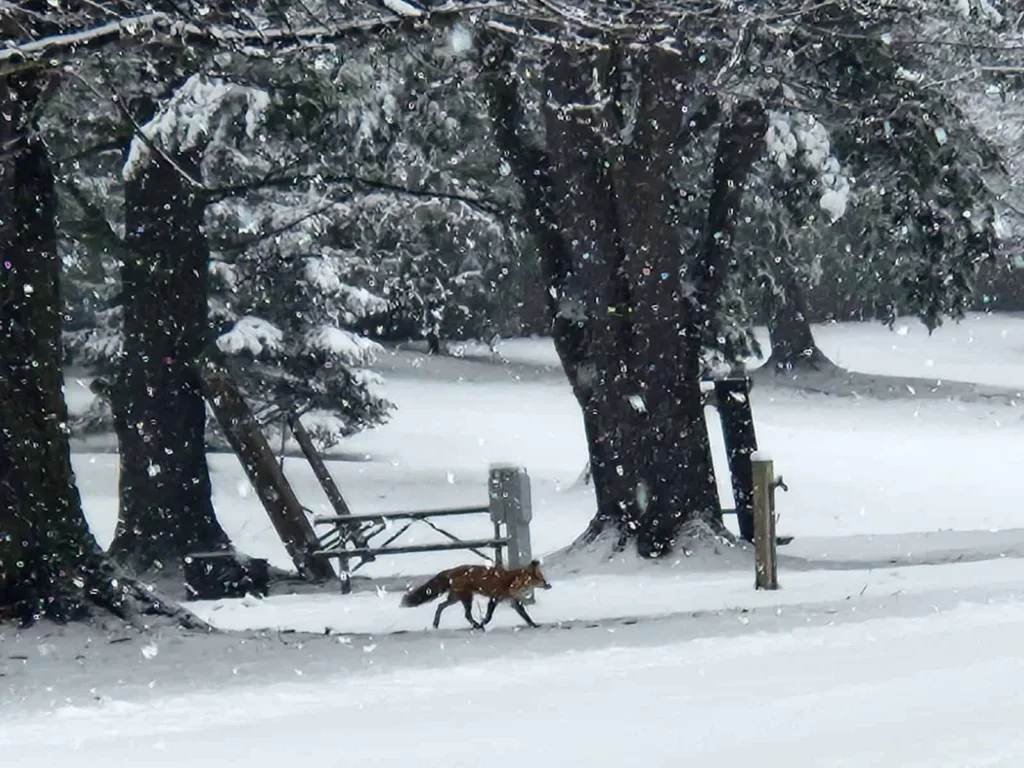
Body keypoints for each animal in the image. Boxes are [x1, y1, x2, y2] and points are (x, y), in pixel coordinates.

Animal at [400, 560, 552, 630]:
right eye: (541, 579)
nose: (549, 585)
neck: (511, 582)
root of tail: (450, 571)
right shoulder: (494, 598)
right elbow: (489, 616)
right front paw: (484, 622)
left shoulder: (513, 601)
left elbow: (526, 616)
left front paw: (534, 625)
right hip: (466, 598)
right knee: (465, 614)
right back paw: (477, 625)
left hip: (456, 598)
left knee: (440, 606)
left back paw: (436, 623)